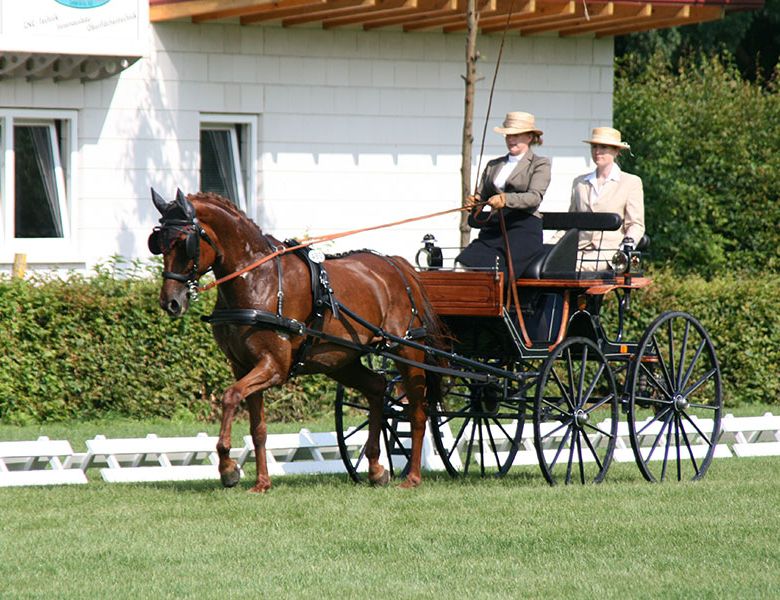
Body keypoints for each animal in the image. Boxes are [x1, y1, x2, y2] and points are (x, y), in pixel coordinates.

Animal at [145, 191, 438, 492]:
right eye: (158, 243)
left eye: (184, 243)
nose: (170, 302)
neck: (257, 279)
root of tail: (396, 265)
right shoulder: (243, 366)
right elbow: (258, 428)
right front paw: (261, 481)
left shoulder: (274, 367)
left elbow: (230, 396)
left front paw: (228, 468)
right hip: (340, 361)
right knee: (377, 388)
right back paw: (376, 468)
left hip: (407, 350)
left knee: (418, 412)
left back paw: (413, 476)